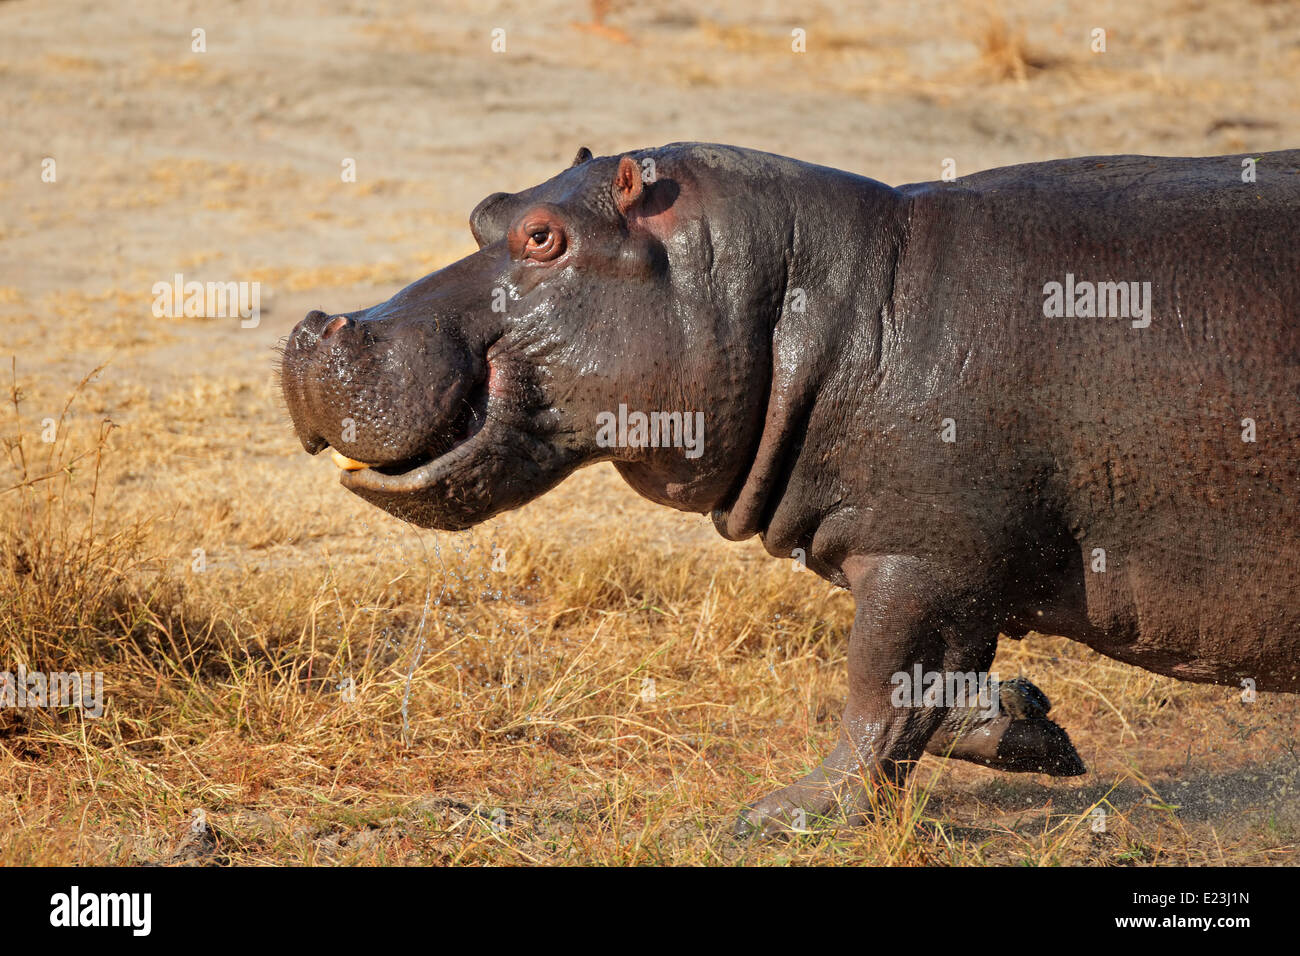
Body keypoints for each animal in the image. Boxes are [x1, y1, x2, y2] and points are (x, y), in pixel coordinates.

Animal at [282, 143, 1300, 837]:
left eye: (544, 237)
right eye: (486, 210)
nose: (316, 324)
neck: (832, 304)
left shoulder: (920, 559)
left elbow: (881, 691)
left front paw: (784, 815)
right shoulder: (954, 572)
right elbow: (937, 695)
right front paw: (1026, 722)